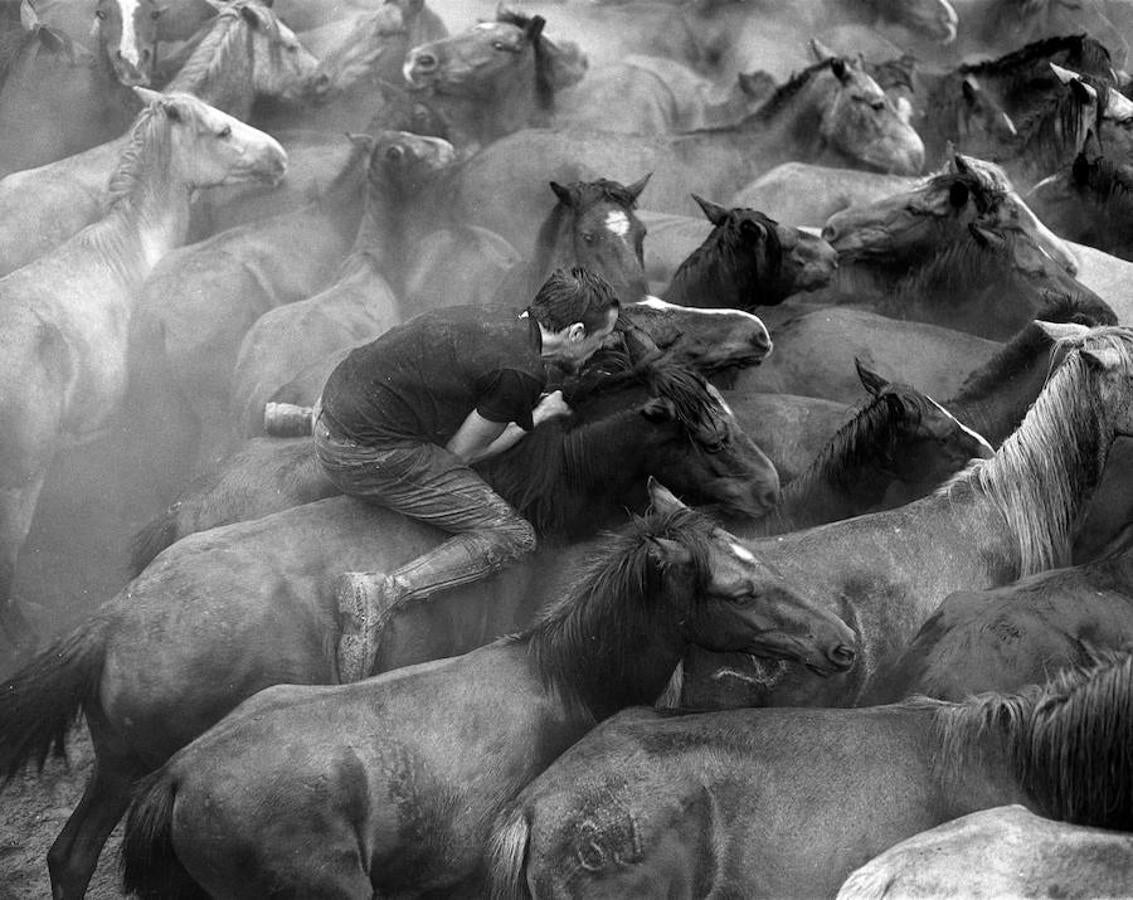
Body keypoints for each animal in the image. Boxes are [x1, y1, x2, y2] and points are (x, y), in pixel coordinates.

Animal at [0, 353, 784, 893]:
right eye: (710, 435)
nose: (772, 488)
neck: (535, 490)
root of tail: (115, 616)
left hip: (117, 768)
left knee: (70, 857)